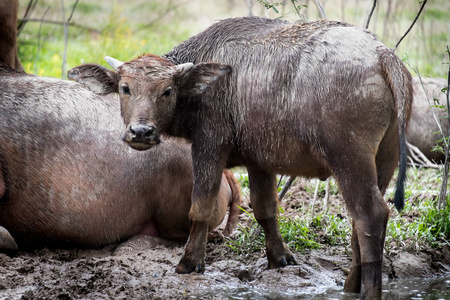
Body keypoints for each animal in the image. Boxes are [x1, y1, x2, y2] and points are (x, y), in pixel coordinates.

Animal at [74, 17, 414, 300]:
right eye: (125, 88)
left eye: (167, 91)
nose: (141, 132)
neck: (204, 87)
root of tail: (383, 55)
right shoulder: (260, 161)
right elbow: (265, 209)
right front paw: (280, 258)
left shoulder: (209, 147)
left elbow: (200, 207)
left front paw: (189, 263)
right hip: (383, 162)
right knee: (362, 222)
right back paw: (350, 286)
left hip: (349, 159)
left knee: (370, 216)